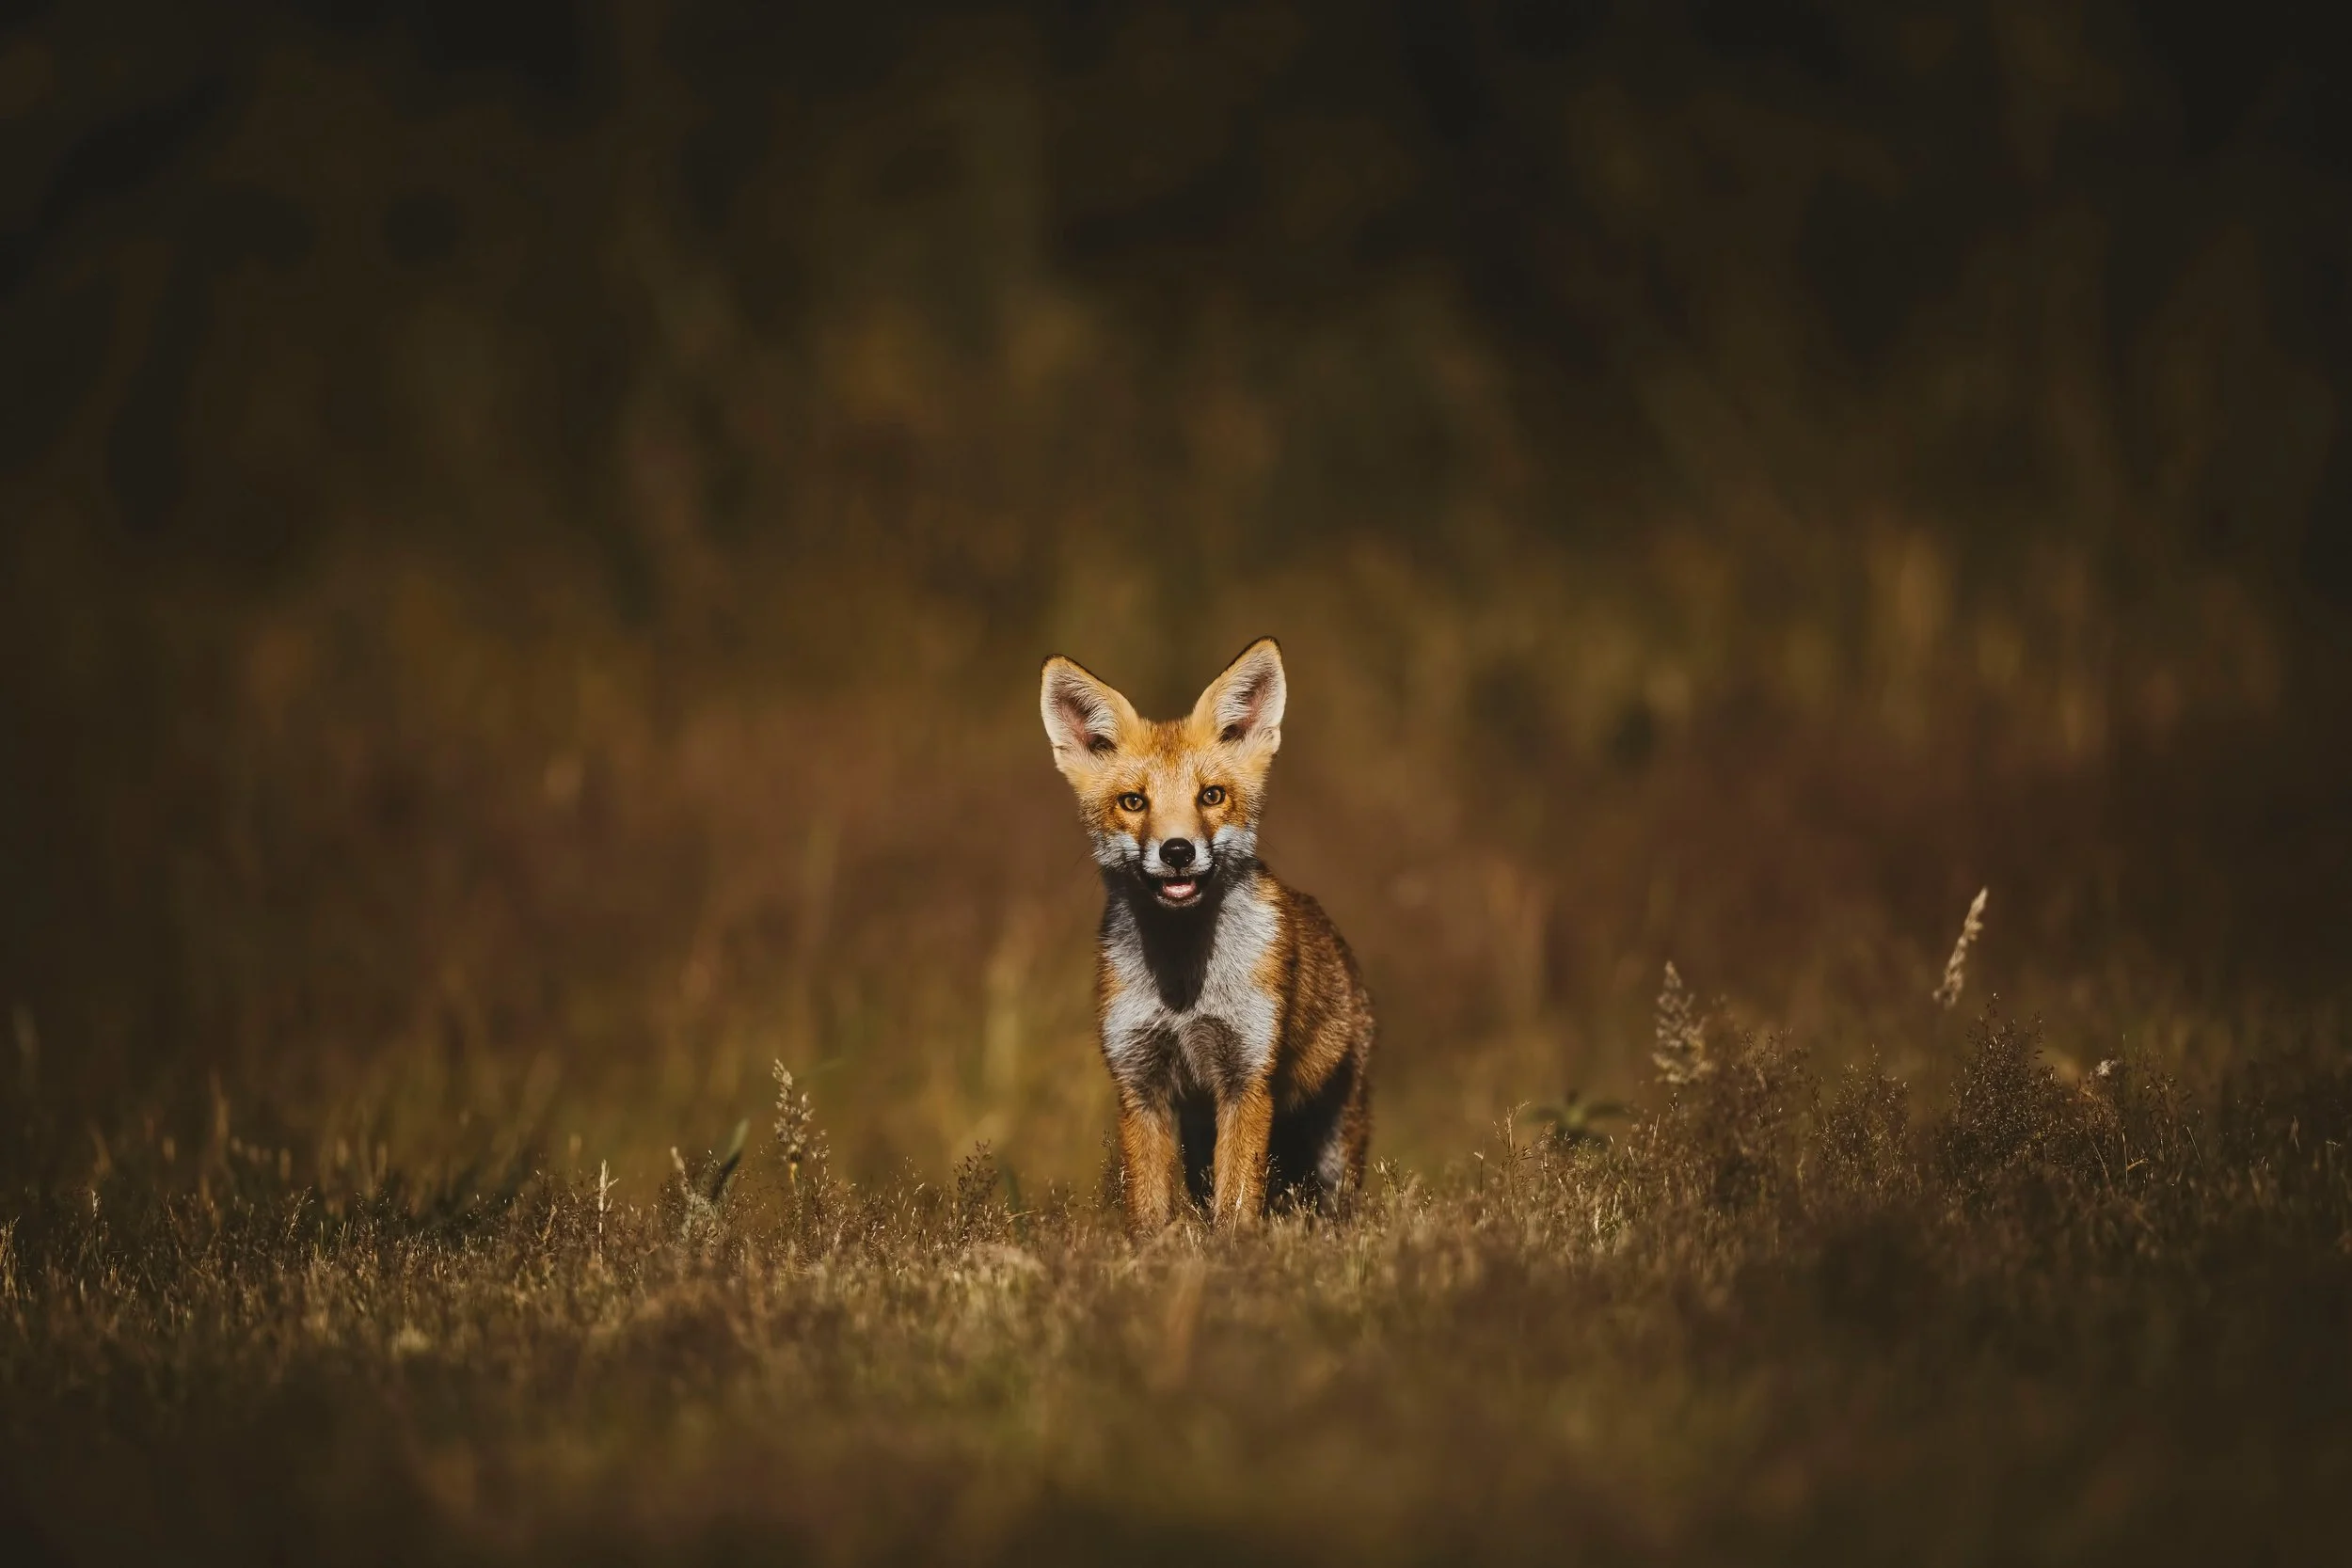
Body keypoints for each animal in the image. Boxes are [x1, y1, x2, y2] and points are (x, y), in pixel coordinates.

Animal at [1040, 637, 1375, 1231]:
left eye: (1212, 796)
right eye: (1134, 802)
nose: (1177, 850)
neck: (1183, 990)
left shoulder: (1248, 1076)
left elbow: (1237, 1204)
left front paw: (1236, 1251)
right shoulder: (1139, 1082)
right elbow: (1150, 1210)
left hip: (1335, 1141)